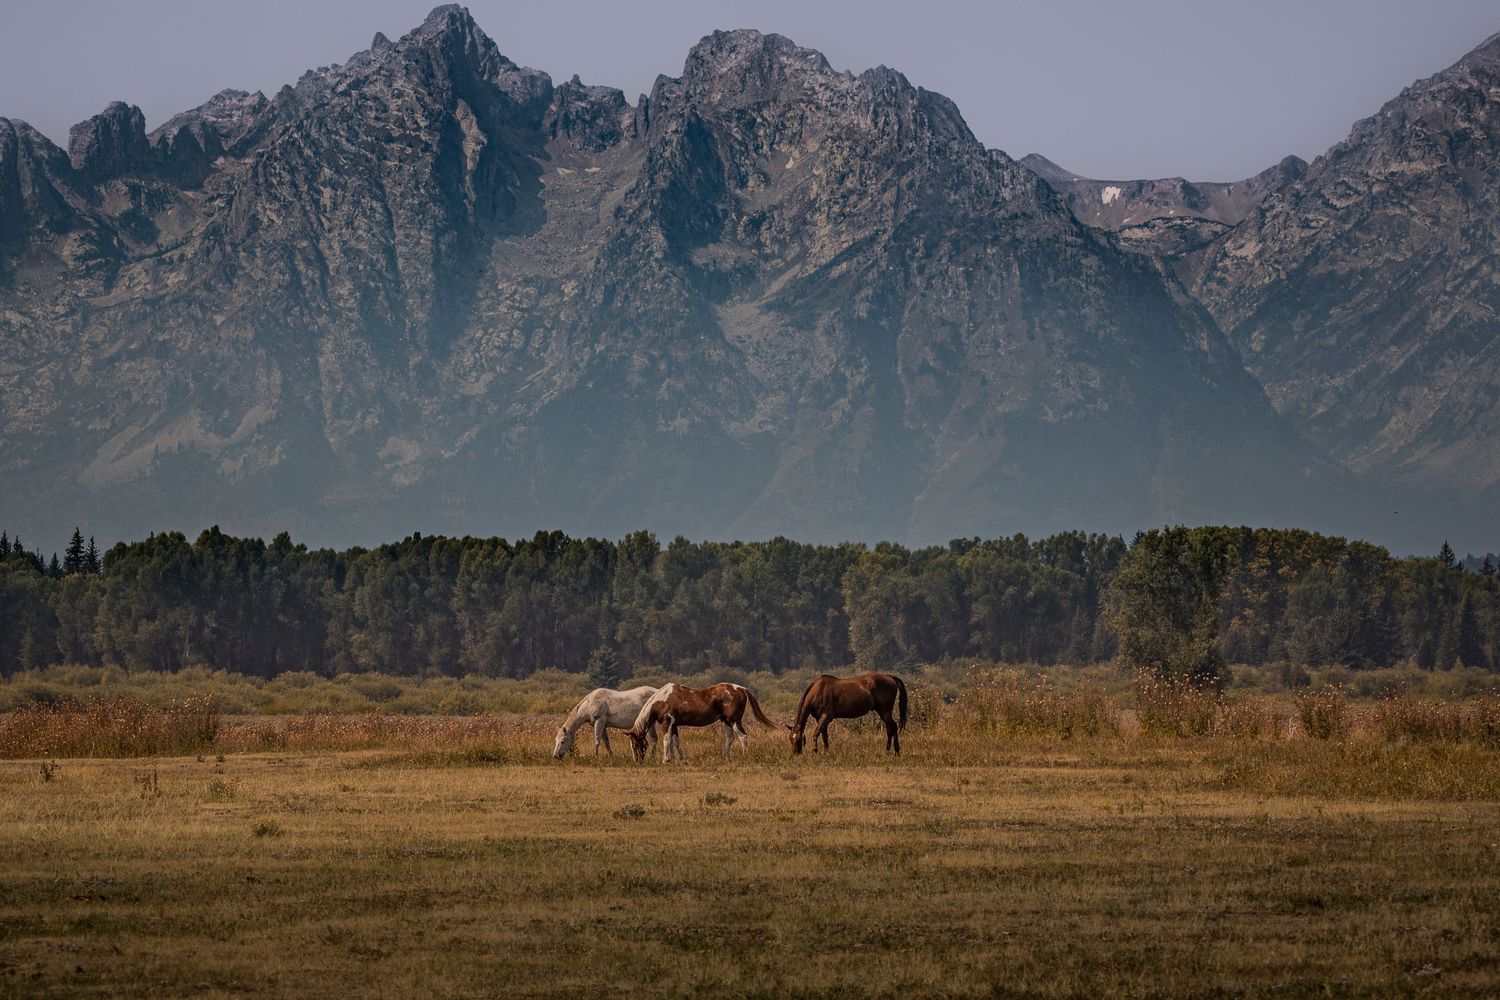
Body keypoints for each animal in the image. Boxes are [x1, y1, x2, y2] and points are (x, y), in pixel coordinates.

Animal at [628, 682, 776, 762]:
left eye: (635, 744)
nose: (637, 761)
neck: (662, 700)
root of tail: (741, 688)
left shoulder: (667, 722)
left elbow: (666, 741)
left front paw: (666, 759)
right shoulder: (674, 725)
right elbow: (676, 742)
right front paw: (679, 759)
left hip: (734, 721)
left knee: (743, 736)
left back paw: (744, 755)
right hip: (726, 721)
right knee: (730, 738)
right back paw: (726, 757)